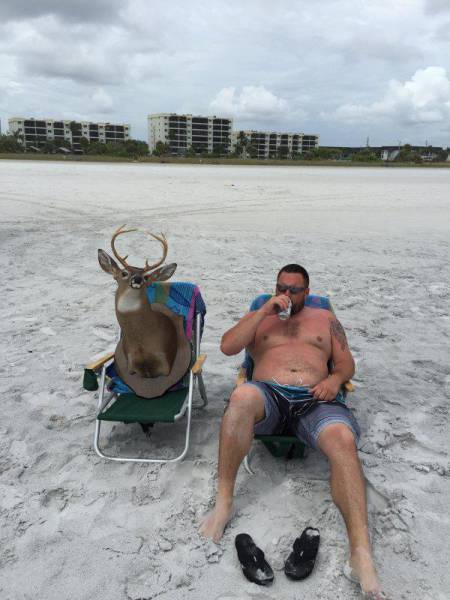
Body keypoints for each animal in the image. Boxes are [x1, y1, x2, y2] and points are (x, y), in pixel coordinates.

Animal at [98, 225, 181, 382]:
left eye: (146, 277)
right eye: (124, 273)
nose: (137, 279)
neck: (142, 344)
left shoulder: (165, 364)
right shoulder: (131, 367)